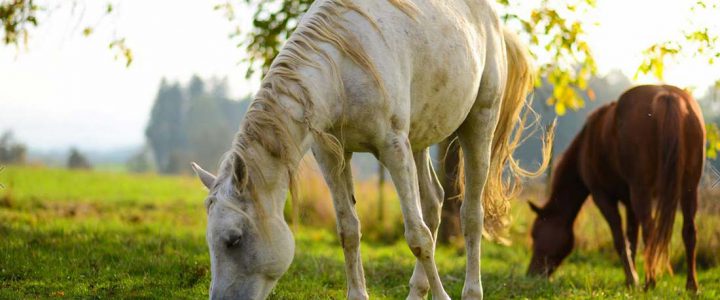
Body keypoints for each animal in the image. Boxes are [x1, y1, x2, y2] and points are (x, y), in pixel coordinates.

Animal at [191, 0, 544, 298]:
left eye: (234, 239)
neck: (340, 68)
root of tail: (495, 22)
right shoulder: (331, 155)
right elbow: (349, 230)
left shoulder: (392, 147)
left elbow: (417, 237)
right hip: (419, 140)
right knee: (433, 203)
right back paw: (417, 291)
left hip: (478, 125)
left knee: (470, 215)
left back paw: (470, 291)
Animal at [524, 84, 704, 290]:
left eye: (535, 234)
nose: (531, 274)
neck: (588, 142)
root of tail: (668, 96)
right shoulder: (630, 203)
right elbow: (631, 239)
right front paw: (632, 279)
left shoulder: (602, 196)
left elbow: (620, 239)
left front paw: (633, 279)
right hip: (689, 189)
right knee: (688, 232)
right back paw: (691, 286)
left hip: (642, 192)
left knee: (650, 232)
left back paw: (650, 283)